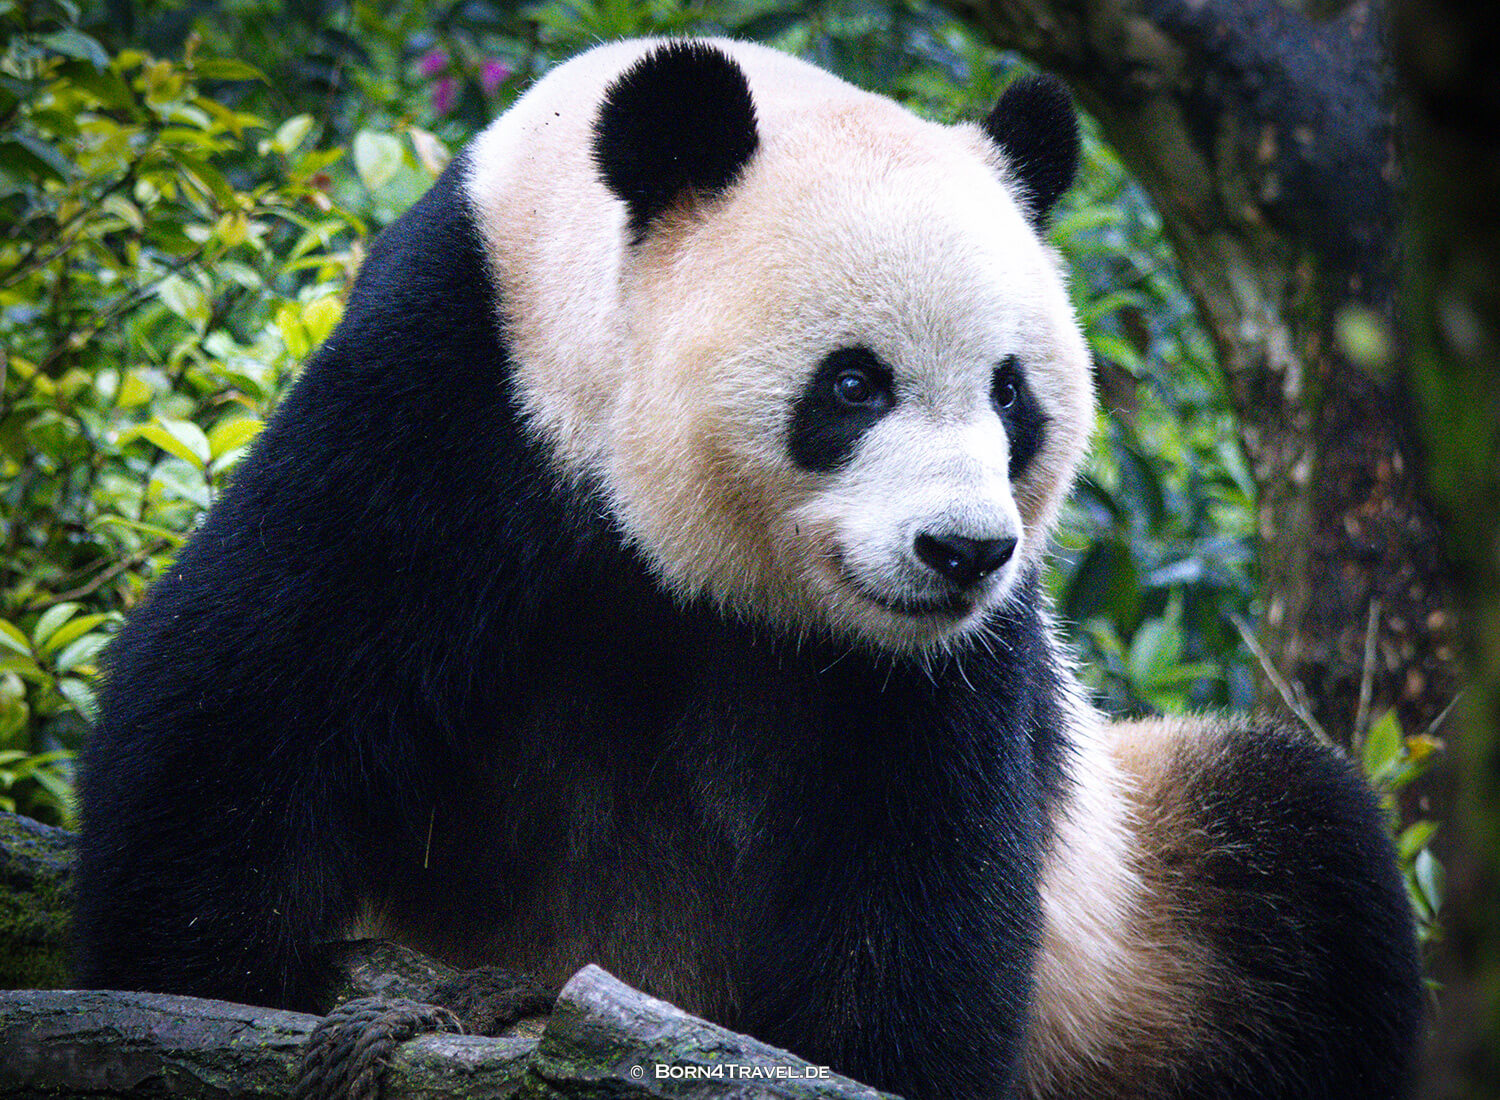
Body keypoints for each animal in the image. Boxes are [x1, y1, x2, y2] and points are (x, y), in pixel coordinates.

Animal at [75, 37, 1422, 1099]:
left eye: (1011, 393)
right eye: (853, 382)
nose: (961, 552)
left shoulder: (947, 668)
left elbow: (920, 893)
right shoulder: (453, 403)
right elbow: (240, 709)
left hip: (1142, 906)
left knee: (1303, 862)